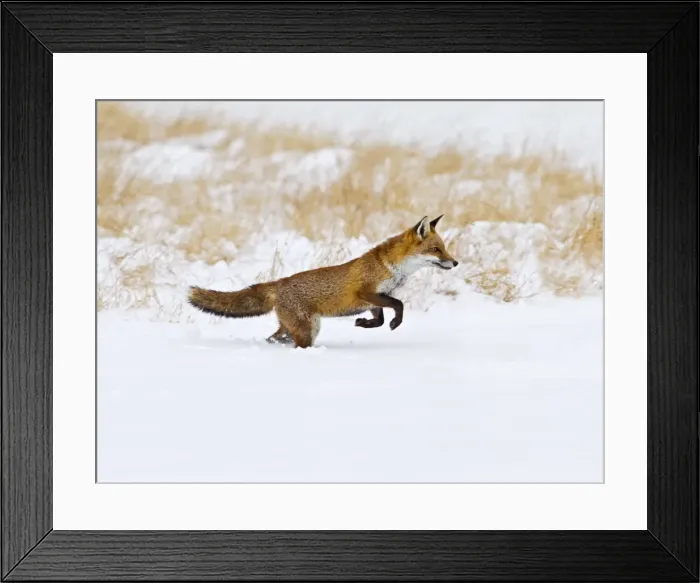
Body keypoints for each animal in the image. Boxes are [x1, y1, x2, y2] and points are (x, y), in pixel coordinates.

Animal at [187, 215, 459, 348]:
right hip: (307, 330)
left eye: (444, 248)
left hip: (295, 328)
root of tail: (279, 282)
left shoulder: (374, 301)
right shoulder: (366, 292)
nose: (455, 263)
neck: (392, 268)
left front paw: (363, 324)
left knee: (274, 338)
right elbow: (398, 305)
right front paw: (395, 323)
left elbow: (379, 319)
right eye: (436, 249)